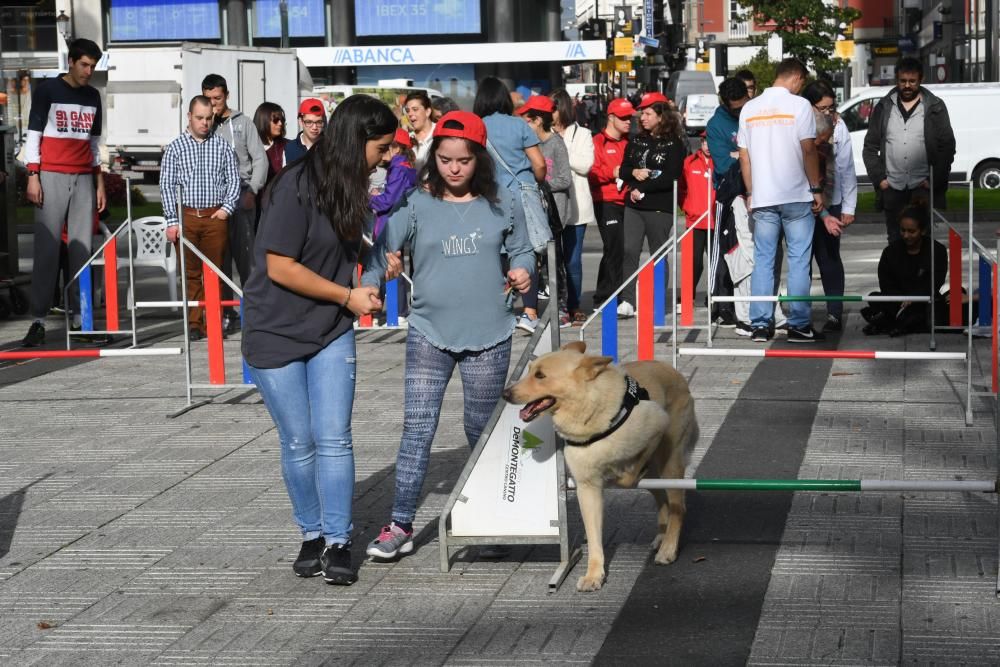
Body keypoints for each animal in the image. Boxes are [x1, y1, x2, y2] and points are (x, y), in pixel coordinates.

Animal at [504, 342, 700, 592]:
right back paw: (661, 537)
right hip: (657, 476)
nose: (504, 393)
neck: (589, 411)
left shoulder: (657, 423)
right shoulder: (587, 488)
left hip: (670, 464)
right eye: (529, 370)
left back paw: (668, 548)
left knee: (678, 506)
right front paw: (594, 575)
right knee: (663, 501)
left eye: (540, 375)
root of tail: (675, 373)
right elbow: (594, 537)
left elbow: (628, 476)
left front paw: (624, 472)